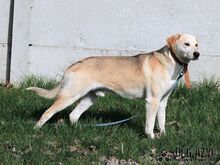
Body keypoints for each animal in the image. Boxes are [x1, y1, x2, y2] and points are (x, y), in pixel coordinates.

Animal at [27, 33, 199, 138]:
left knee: (73, 115)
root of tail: (73, 66)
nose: (197, 54)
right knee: (48, 113)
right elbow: (150, 124)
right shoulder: (152, 101)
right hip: (69, 96)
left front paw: (163, 136)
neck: (171, 62)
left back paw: (79, 130)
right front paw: (150, 138)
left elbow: (161, 121)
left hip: (89, 98)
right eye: (186, 44)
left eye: (197, 45)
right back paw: (35, 131)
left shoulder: (162, 102)